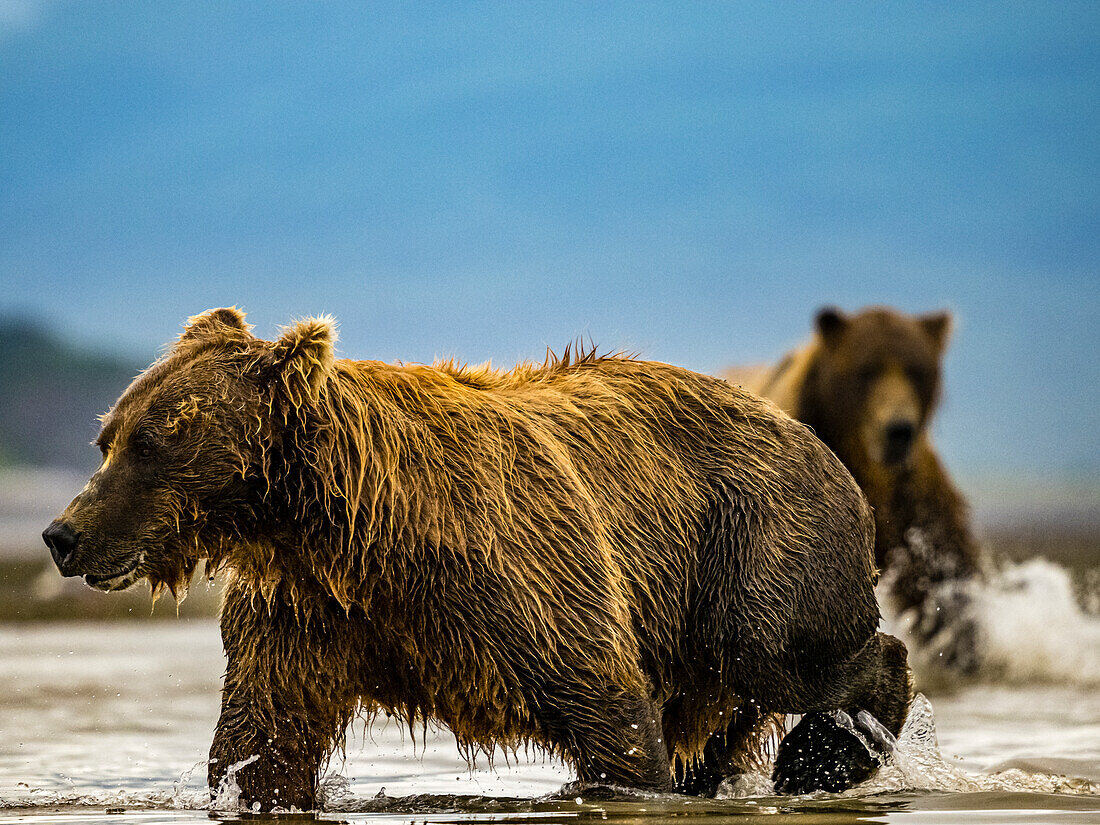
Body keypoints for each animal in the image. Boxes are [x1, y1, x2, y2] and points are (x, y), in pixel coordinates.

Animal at [45, 310, 910, 814]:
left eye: (153, 440)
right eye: (108, 435)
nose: (63, 533)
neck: (338, 531)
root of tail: (809, 432)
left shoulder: (514, 573)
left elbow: (607, 708)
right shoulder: (304, 610)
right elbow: (264, 736)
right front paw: (251, 785)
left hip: (749, 538)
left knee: (785, 648)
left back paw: (823, 756)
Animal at [726, 308, 985, 673]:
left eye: (916, 369)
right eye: (867, 370)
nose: (898, 429)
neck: (869, 469)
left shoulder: (913, 505)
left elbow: (942, 574)